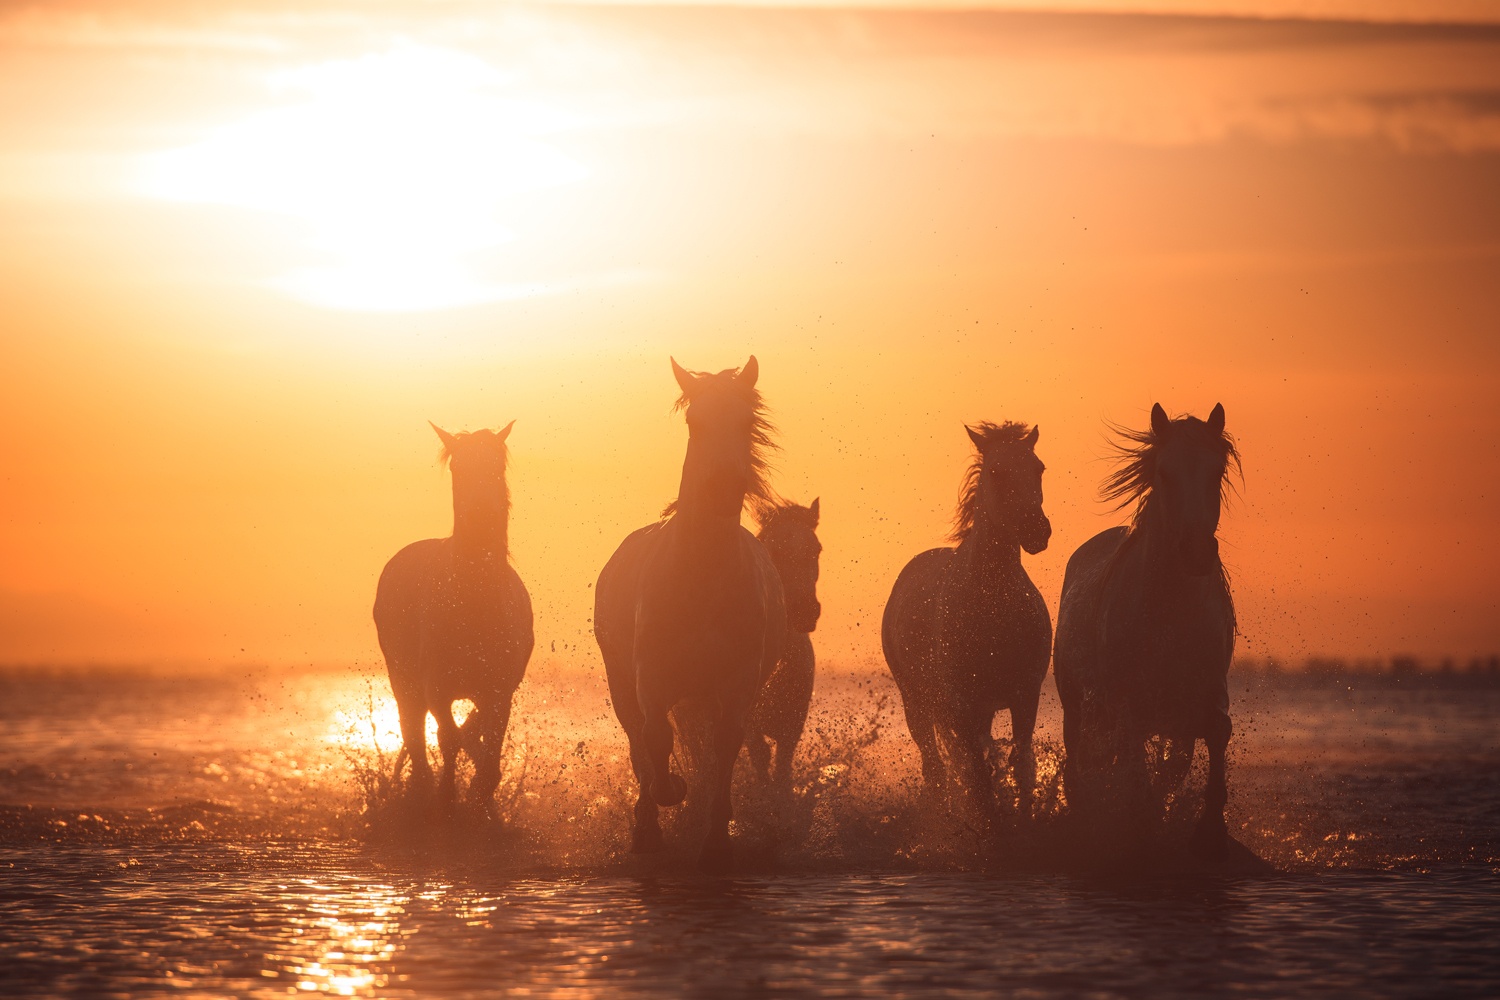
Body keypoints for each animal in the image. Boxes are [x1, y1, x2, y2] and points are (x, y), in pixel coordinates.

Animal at [373, 422, 534, 815]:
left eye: (497, 465)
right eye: (458, 469)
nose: (481, 513)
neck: (474, 602)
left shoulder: (499, 689)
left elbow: (484, 738)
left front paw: (481, 789)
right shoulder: (437, 688)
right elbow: (446, 737)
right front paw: (445, 794)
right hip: (403, 678)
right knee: (412, 726)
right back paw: (420, 786)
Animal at [594, 358, 792, 869]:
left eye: (746, 420)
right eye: (694, 421)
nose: (722, 486)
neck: (701, 577)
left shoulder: (736, 684)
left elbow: (724, 747)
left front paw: (717, 839)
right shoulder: (650, 677)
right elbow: (656, 741)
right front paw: (665, 801)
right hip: (622, 683)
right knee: (638, 742)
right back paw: (647, 826)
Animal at [747, 500, 828, 791]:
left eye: (816, 549)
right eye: (774, 549)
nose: (805, 610)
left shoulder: (793, 722)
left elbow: (783, 765)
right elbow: (760, 756)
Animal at [876, 422, 1056, 827]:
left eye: (1039, 468)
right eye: (996, 472)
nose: (1037, 530)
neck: (991, 607)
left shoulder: (1025, 695)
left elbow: (1020, 765)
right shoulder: (961, 706)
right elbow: (975, 774)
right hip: (917, 704)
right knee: (935, 768)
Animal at [1050, 401, 1236, 857]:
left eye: (1217, 471)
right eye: (1164, 472)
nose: (1196, 553)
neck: (1171, 615)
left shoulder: (1206, 691)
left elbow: (1213, 735)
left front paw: (1210, 828)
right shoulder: (1127, 704)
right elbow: (1132, 765)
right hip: (1077, 707)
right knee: (1082, 757)